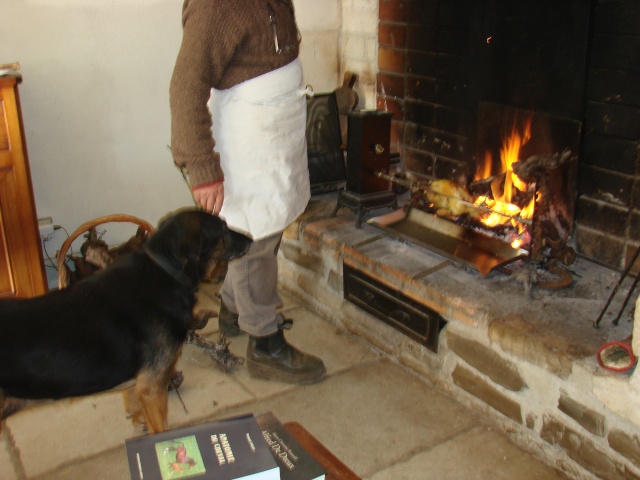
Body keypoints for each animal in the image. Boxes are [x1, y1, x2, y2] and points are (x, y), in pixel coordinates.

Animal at [0, 208, 252, 434]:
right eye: (221, 228)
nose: (250, 238)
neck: (165, 271)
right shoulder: (153, 387)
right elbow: (161, 430)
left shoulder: (139, 384)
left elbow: (133, 402)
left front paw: (137, 421)